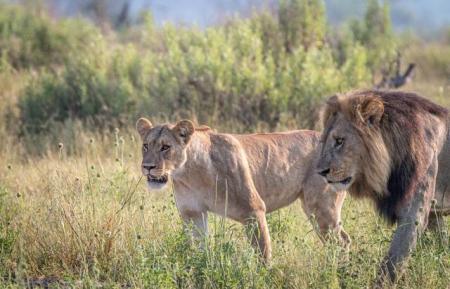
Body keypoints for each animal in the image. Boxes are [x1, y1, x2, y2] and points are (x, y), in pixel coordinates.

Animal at [135, 117, 350, 258]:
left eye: (165, 147)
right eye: (145, 145)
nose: (147, 167)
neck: (190, 174)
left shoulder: (254, 210)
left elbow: (263, 254)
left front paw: (264, 278)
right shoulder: (192, 214)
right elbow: (199, 250)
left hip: (321, 208)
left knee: (340, 243)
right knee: (343, 240)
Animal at [316, 90, 450, 286]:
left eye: (339, 141)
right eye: (324, 141)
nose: (320, 172)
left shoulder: (414, 212)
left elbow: (393, 262)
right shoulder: (433, 213)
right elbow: (442, 245)